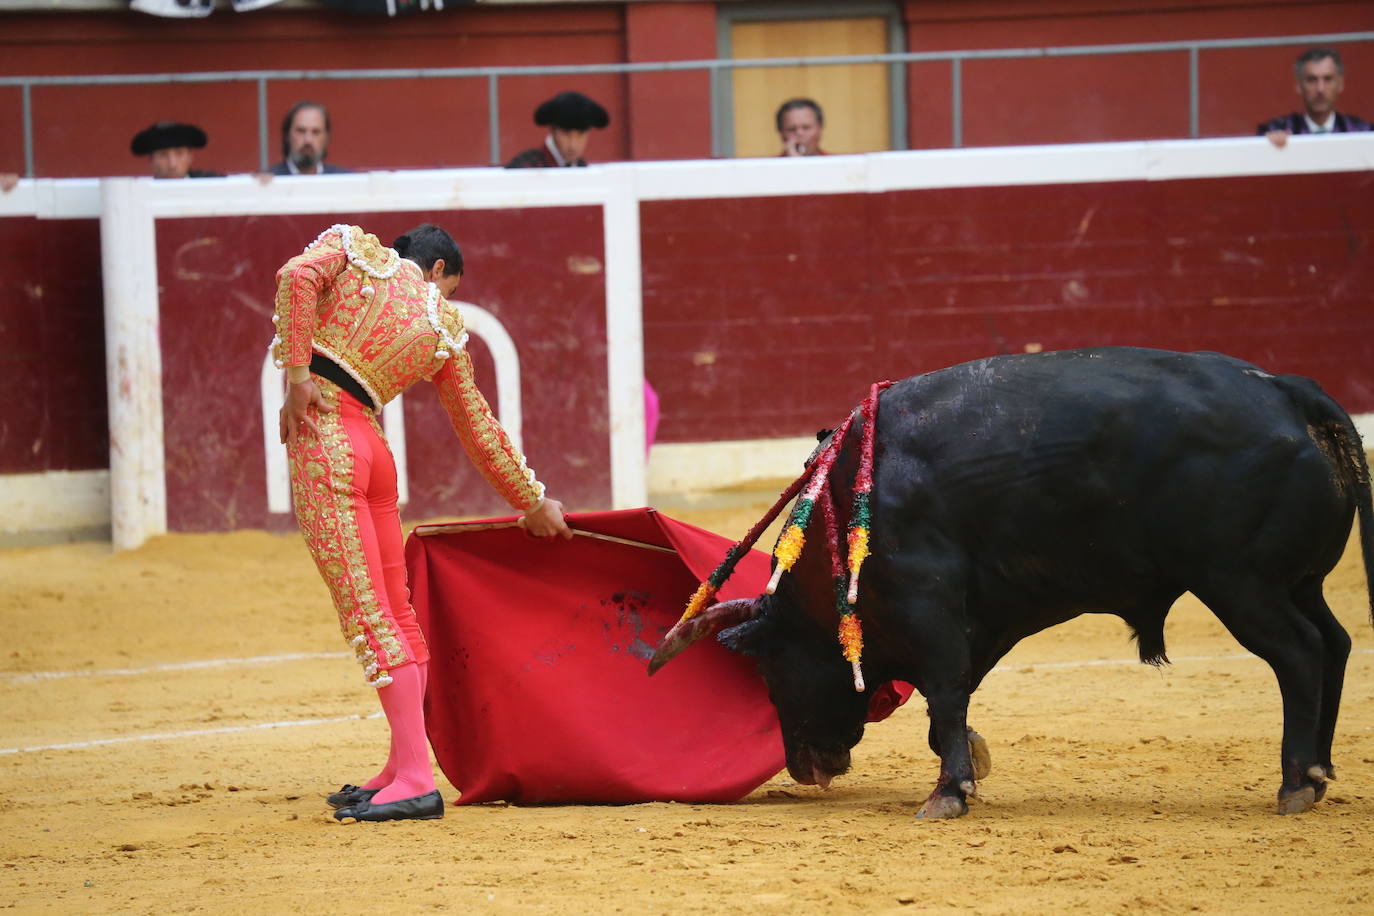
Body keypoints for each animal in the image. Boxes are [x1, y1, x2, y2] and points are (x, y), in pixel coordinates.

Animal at [648, 347, 1368, 818]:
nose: (806, 768)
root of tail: (1288, 391)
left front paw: (947, 794)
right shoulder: (980, 619)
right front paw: (963, 773)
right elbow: (955, 701)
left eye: (771, 669)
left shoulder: (929, 602)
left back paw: (1295, 784)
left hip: (1241, 584)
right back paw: (1321, 769)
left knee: (1300, 654)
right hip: (1297, 583)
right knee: (1335, 644)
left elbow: (944, 694)